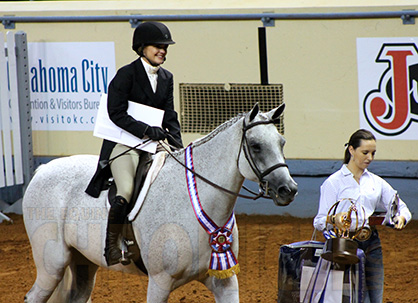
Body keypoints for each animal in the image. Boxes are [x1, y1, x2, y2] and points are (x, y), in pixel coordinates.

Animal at [22, 104, 298, 303]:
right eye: (256, 146)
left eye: (282, 143)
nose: (289, 190)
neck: (194, 203)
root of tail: (43, 169)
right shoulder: (159, 282)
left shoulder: (224, 281)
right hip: (52, 265)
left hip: (82, 264)